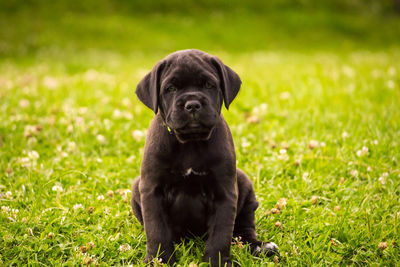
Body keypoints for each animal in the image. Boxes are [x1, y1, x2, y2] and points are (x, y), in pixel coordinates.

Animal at [132, 49, 278, 266]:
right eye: (171, 88)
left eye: (209, 85)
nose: (192, 104)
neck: (190, 143)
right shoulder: (152, 189)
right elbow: (156, 230)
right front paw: (160, 260)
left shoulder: (224, 192)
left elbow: (221, 233)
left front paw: (216, 261)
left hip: (243, 184)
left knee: (243, 229)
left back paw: (260, 247)